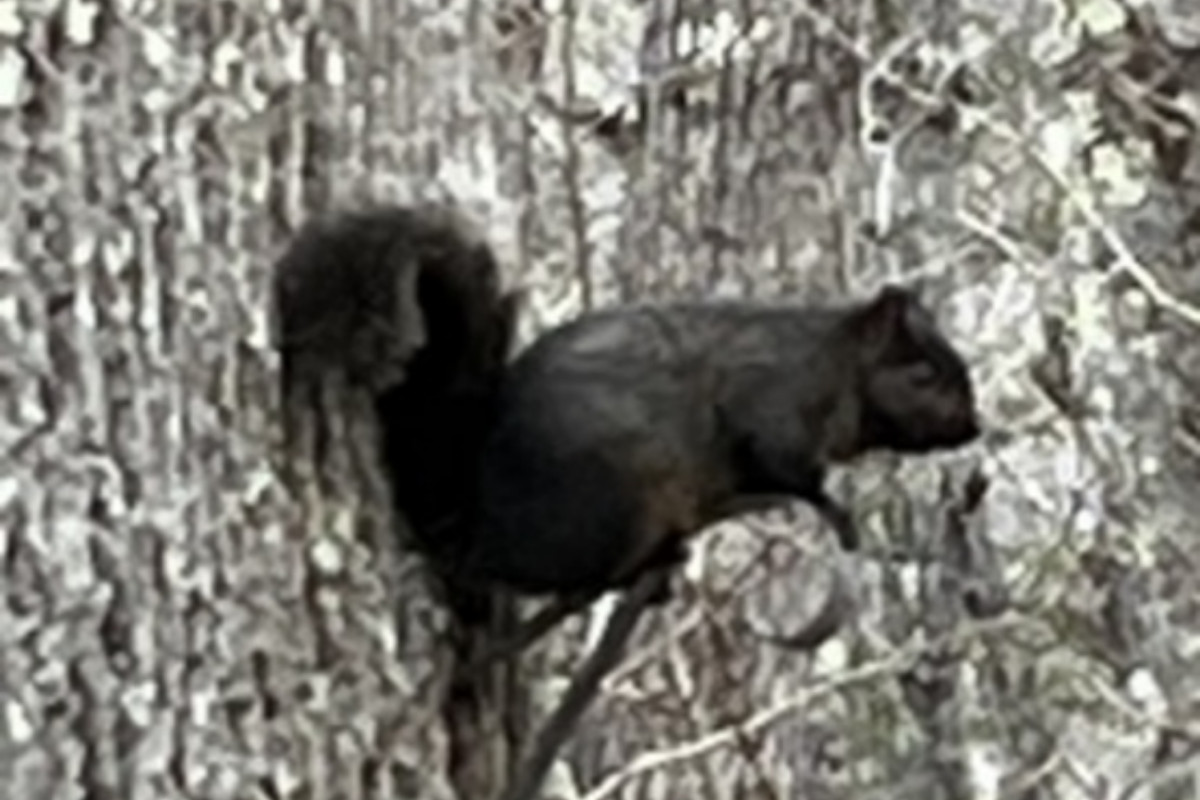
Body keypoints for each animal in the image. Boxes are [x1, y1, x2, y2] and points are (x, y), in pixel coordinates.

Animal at [272, 202, 982, 611]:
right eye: (922, 374)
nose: (974, 426)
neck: (834, 366)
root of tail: (474, 518)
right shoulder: (771, 401)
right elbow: (786, 468)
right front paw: (836, 510)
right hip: (620, 498)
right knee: (519, 572)